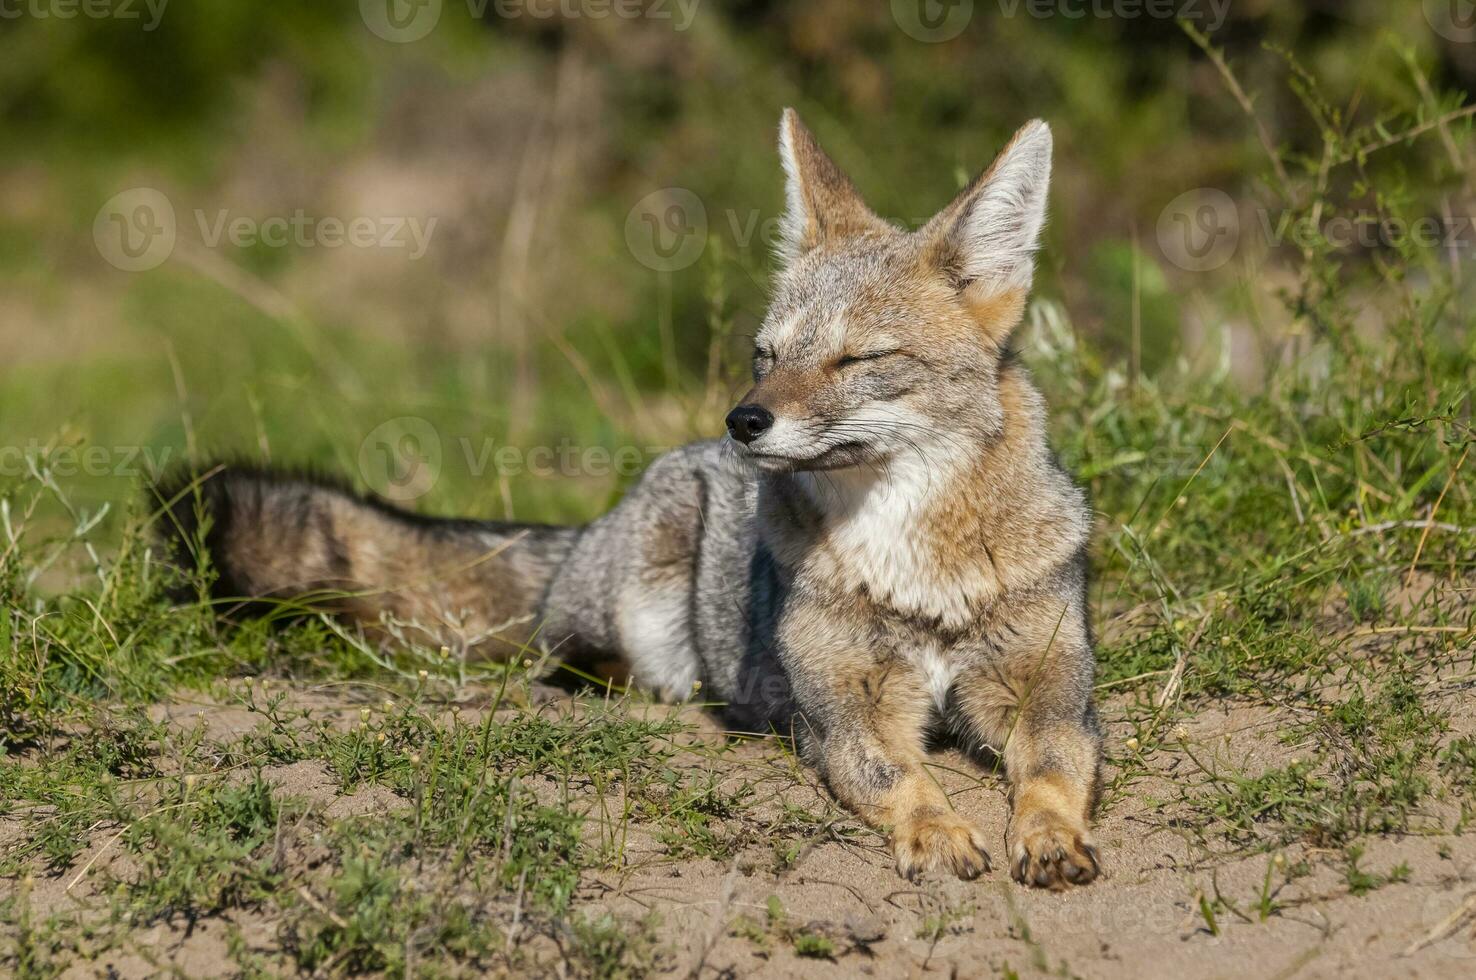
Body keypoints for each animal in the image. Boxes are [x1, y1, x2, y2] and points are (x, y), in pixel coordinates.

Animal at [164, 112, 1109, 885]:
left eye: (858, 359)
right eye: (767, 354)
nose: (744, 420)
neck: (915, 572)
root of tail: (598, 518)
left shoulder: (1050, 690)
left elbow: (1056, 767)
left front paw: (1050, 838)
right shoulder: (844, 710)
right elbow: (899, 774)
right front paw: (938, 832)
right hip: (637, 601)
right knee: (566, 659)